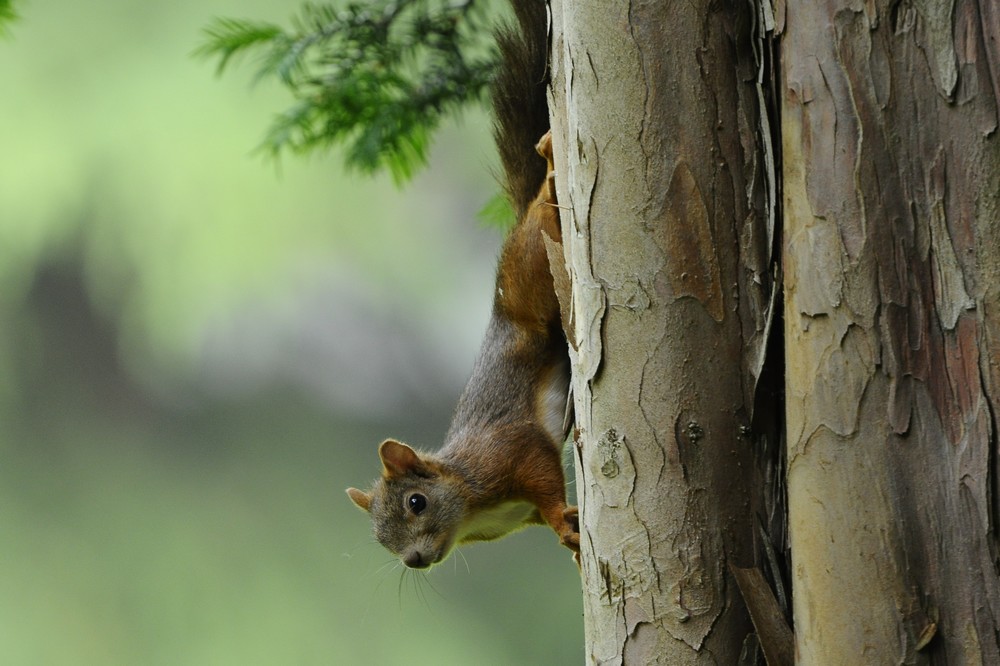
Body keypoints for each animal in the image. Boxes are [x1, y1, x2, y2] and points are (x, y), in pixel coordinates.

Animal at [345, 0, 579, 570]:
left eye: (416, 501)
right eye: (380, 537)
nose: (414, 560)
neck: (472, 503)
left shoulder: (510, 453)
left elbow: (544, 472)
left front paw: (564, 520)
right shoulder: (517, 515)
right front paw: (568, 539)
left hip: (532, 277)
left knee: (545, 209)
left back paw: (549, 165)